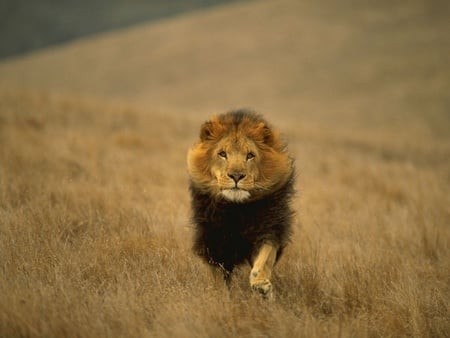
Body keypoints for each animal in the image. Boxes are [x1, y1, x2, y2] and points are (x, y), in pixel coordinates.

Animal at [186, 109, 296, 298]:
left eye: (250, 155)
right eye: (222, 154)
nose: (236, 176)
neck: (236, 210)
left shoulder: (269, 229)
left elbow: (263, 260)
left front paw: (261, 286)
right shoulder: (213, 241)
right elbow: (218, 276)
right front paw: (220, 296)